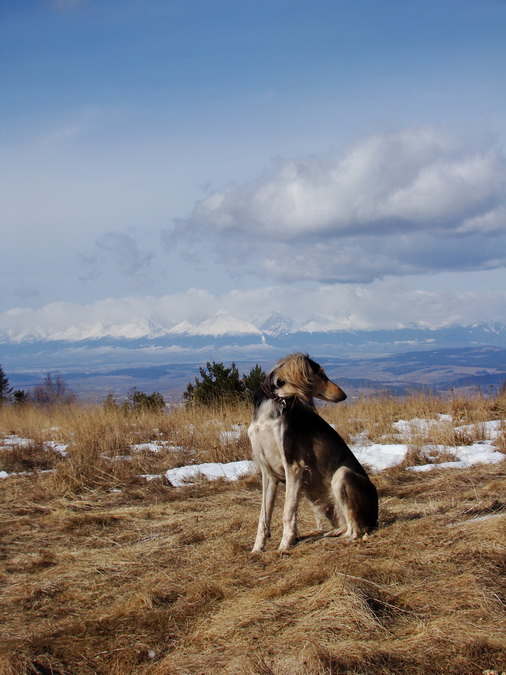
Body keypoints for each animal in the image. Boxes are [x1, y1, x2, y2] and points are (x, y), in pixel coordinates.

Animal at [247, 352, 378, 552]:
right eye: (320, 374)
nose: (344, 395)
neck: (273, 406)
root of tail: (376, 517)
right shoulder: (268, 472)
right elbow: (264, 516)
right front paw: (257, 549)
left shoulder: (294, 466)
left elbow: (288, 511)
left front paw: (284, 546)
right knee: (345, 527)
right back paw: (327, 533)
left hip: (341, 474)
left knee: (354, 532)